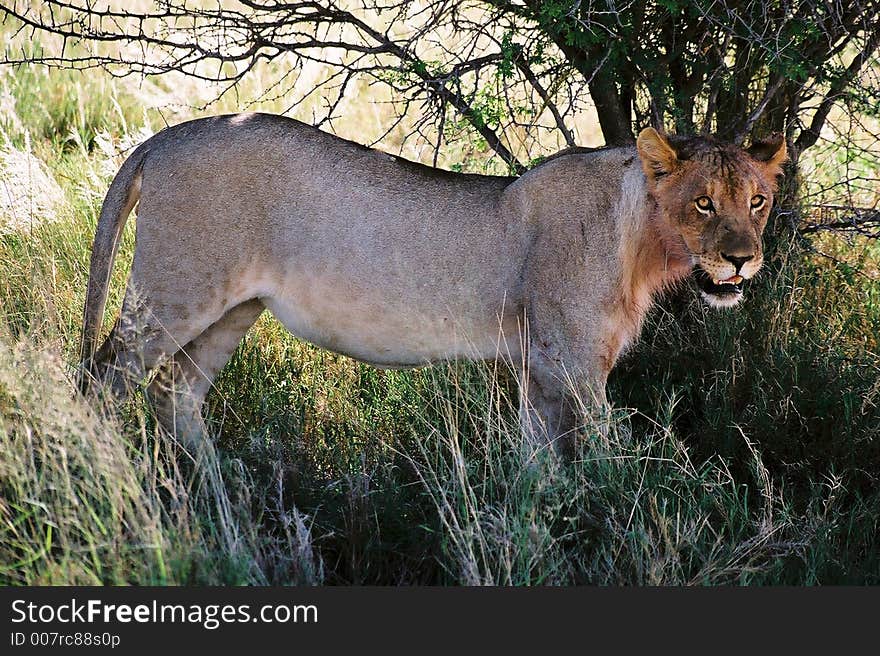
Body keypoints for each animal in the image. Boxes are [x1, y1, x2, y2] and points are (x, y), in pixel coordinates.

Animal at [79, 113, 788, 454]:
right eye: (703, 203)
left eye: (756, 201)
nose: (742, 261)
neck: (640, 240)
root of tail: (165, 138)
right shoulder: (577, 366)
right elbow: (610, 464)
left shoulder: (538, 370)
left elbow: (538, 467)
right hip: (174, 294)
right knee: (103, 383)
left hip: (233, 309)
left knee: (175, 393)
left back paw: (226, 510)